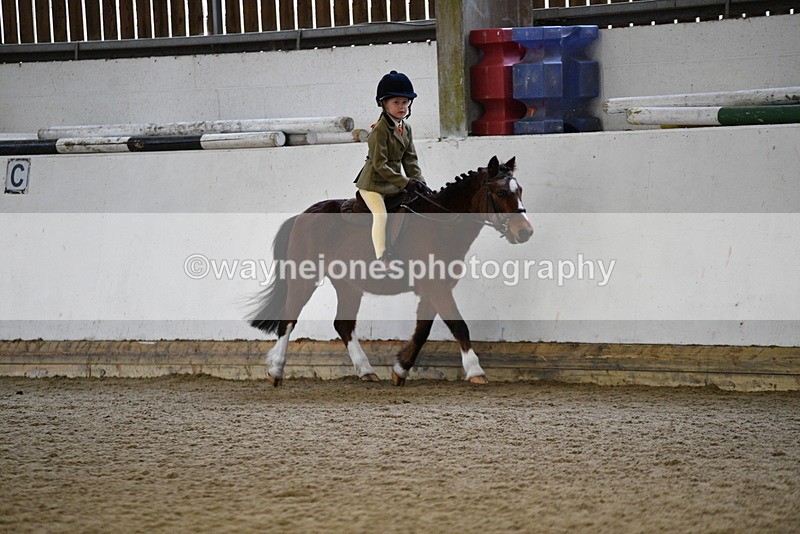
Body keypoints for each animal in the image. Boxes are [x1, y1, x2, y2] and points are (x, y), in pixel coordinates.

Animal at [249, 155, 533, 386]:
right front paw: (475, 371)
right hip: (304, 278)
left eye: (519, 190)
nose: (526, 232)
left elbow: (422, 331)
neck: (440, 224)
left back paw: (366, 371)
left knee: (343, 324)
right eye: (500, 193)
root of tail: (302, 215)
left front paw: (400, 369)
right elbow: (458, 325)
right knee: (288, 320)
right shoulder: (437, 288)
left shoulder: (433, 289)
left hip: (348, 285)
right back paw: (275, 371)